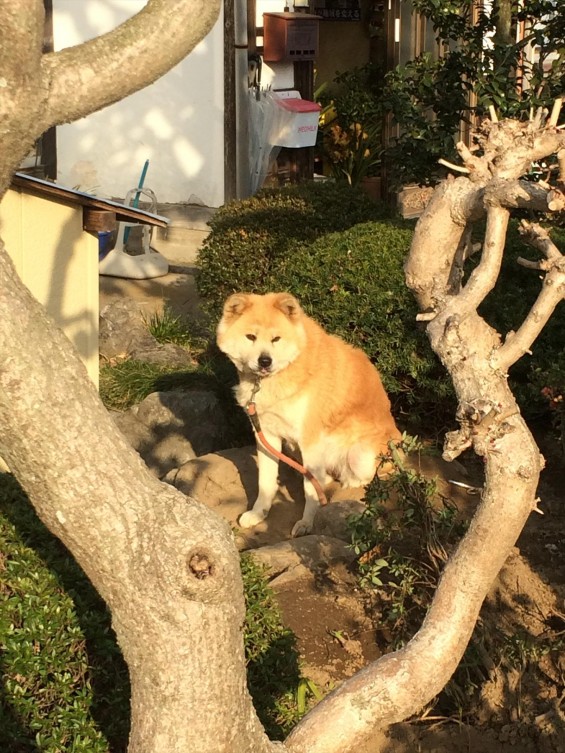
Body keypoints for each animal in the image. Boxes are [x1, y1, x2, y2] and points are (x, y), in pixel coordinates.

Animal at [214, 292, 398, 536]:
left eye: (276, 339)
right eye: (251, 337)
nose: (265, 361)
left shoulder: (310, 440)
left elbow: (310, 490)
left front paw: (308, 523)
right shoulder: (266, 434)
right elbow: (266, 481)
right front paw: (258, 513)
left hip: (359, 456)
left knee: (368, 477)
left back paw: (351, 483)